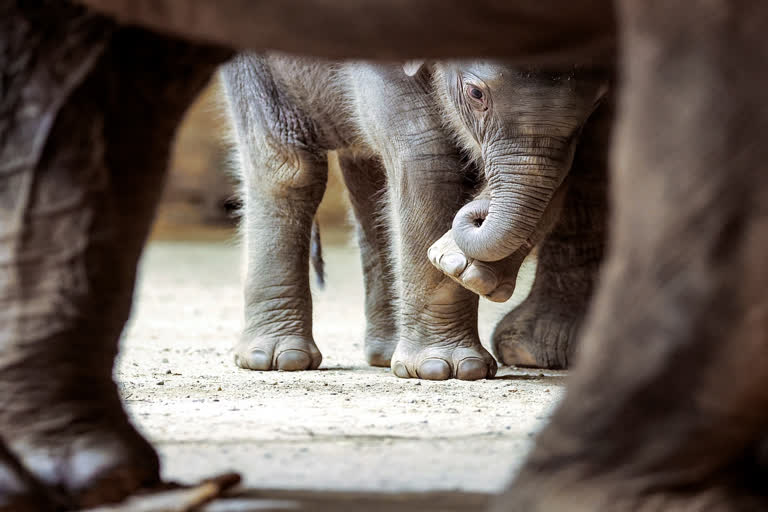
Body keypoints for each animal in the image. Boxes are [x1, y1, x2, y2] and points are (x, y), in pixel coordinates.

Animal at [222, 54, 608, 378]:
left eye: (595, 105)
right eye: (476, 93)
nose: (478, 212)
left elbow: (579, 163)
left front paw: (462, 269)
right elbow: (427, 157)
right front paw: (443, 369)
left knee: (368, 176)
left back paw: (385, 354)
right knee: (288, 169)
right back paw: (275, 360)